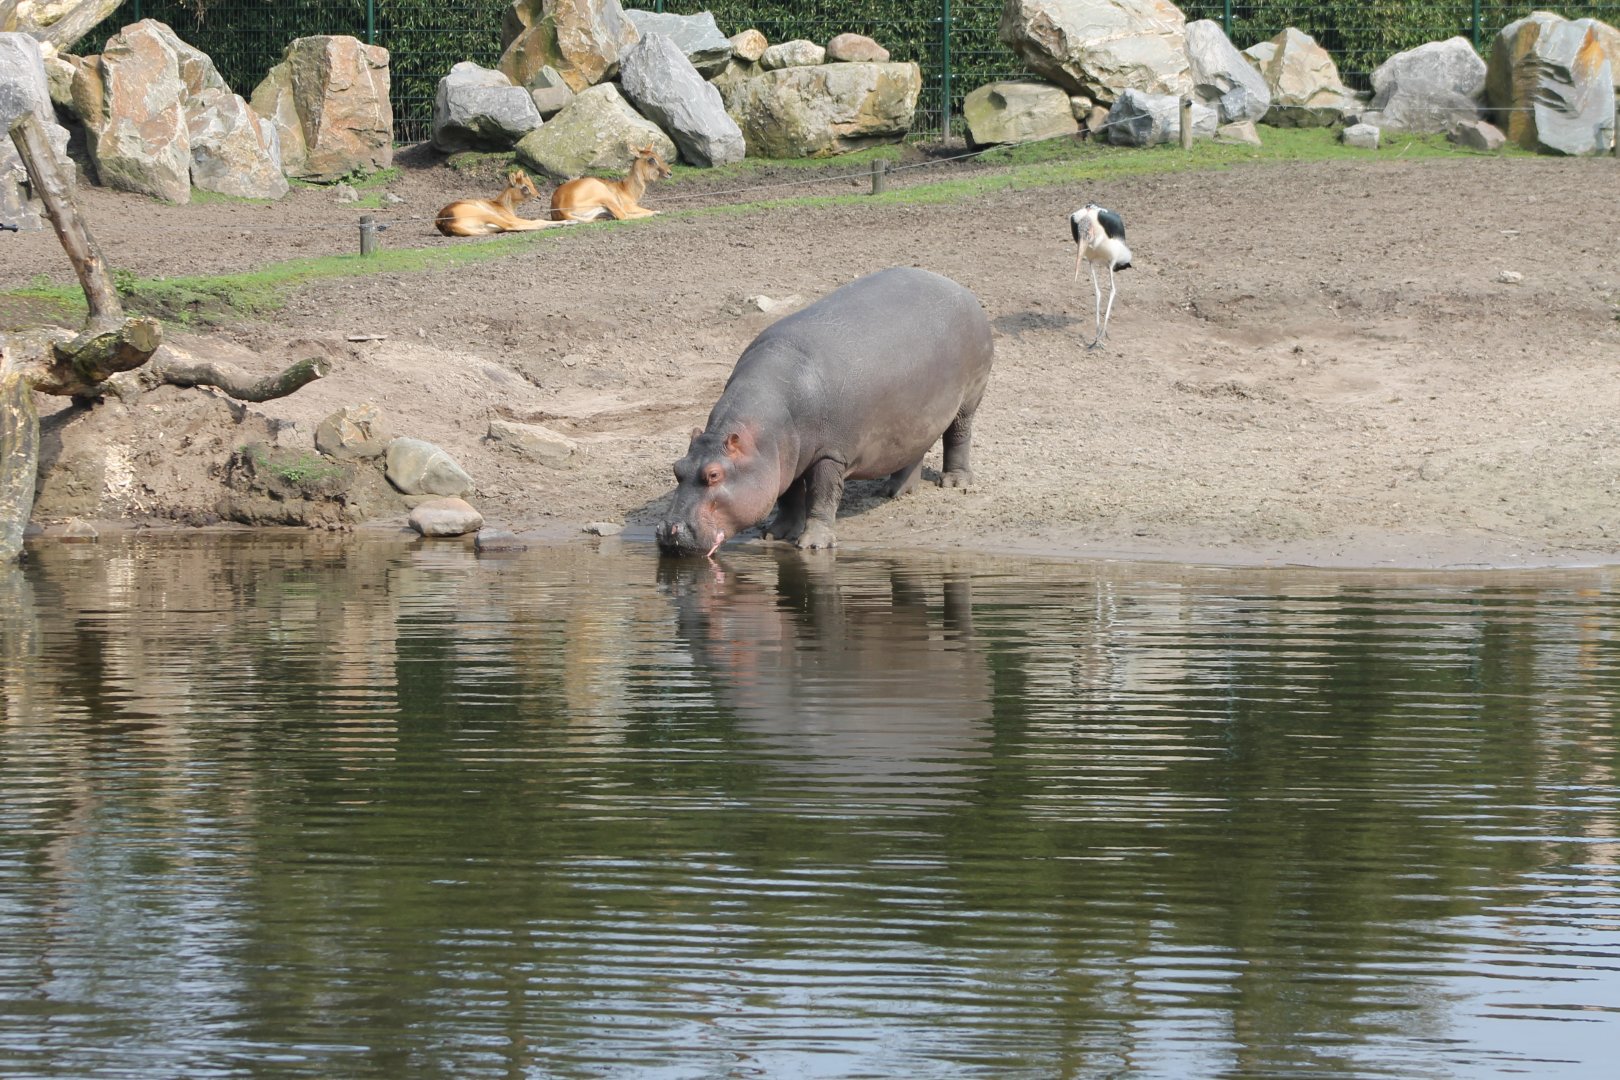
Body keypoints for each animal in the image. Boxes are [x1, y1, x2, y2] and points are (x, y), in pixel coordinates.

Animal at [657, 266, 994, 555]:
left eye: (713, 475)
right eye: (677, 467)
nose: (667, 530)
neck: (762, 436)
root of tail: (957, 286)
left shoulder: (830, 454)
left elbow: (822, 494)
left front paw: (813, 544)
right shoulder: (784, 461)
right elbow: (789, 497)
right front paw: (775, 534)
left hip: (971, 395)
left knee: (959, 434)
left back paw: (955, 483)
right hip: (915, 414)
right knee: (913, 449)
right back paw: (894, 491)